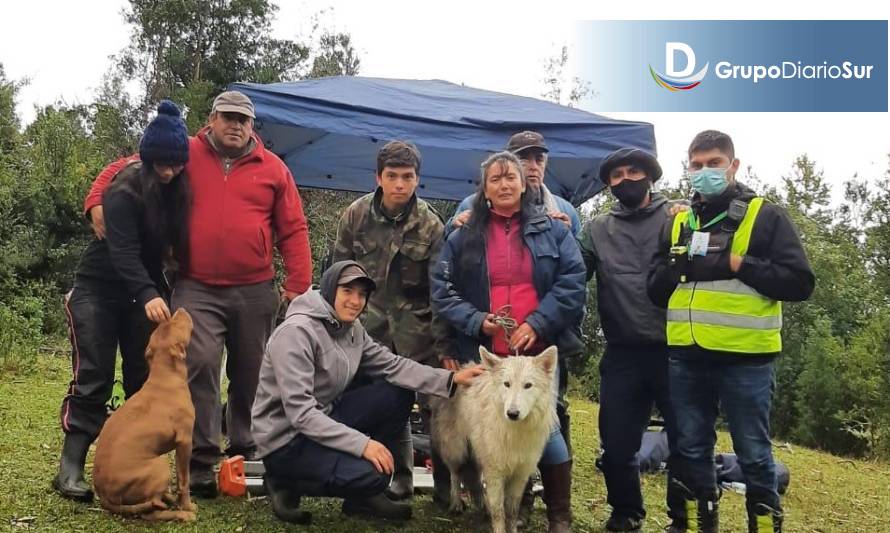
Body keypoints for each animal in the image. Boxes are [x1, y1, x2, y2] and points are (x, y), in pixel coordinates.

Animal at [93, 308, 197, 520]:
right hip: (160, 465)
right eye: (175, 324)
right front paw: (187, 506)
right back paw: (181, 514)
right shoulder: (185, 441)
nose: (181, 309)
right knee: (151, 513)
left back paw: (168, 499)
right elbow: (184, 480)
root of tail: (104, 496)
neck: (165, 376)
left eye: (167, 322)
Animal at [430, 344, 556, 532]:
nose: (512, 413)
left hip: (477, 455)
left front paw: (512, 528)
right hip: (457, 450)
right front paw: (498, 526)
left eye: (528, 385)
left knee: (476, 482)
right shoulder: (495, 472)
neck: (514, 431)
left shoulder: (519, 475)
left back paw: (483, 508)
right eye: (507, 384)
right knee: (455, 474)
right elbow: (499, 512)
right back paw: (456, 503)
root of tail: (461, 368)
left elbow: (511, 512)